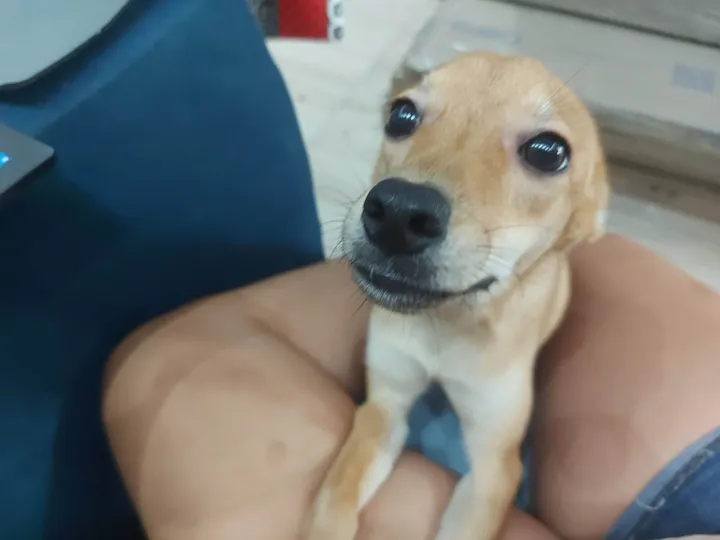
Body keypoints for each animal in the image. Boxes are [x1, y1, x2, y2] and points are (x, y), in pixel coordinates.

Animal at [302, 51, 609, 540]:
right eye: (401, 115)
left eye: (548, 152)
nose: (398, 212)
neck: (446, 324)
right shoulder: (383, 409)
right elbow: (332, 505)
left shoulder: (493, 466)